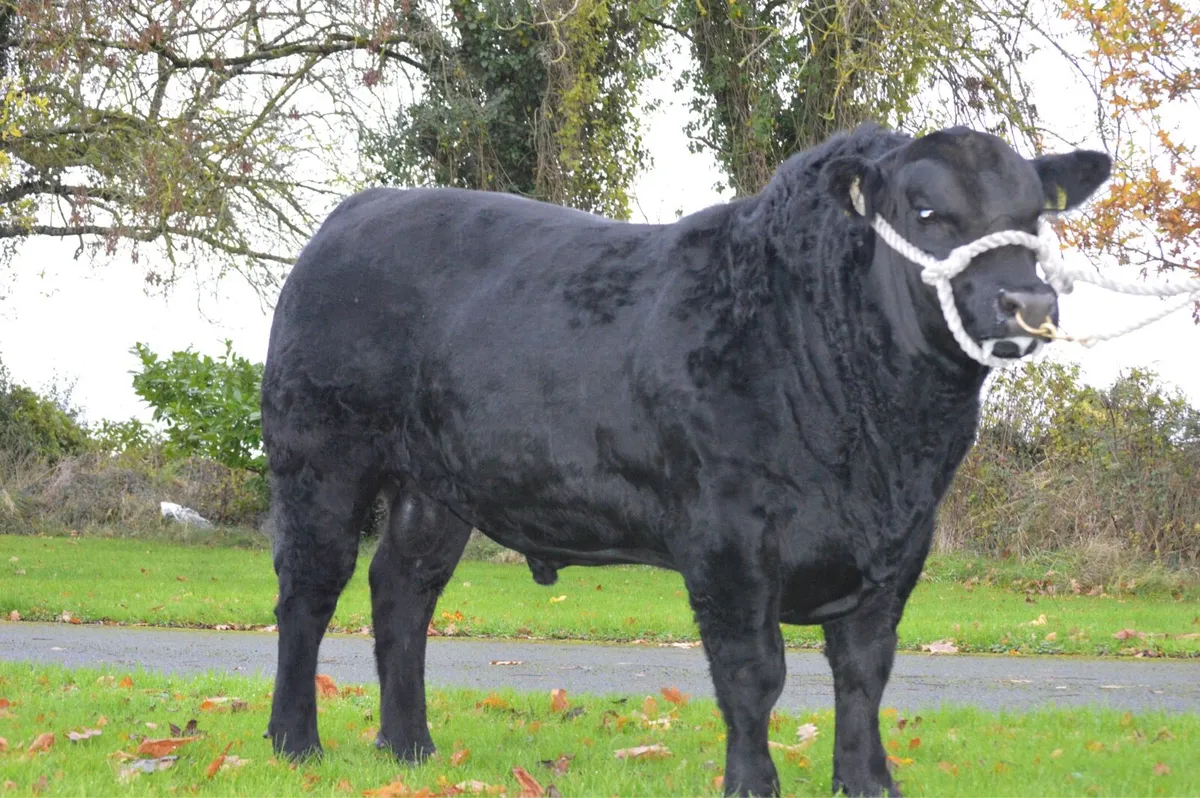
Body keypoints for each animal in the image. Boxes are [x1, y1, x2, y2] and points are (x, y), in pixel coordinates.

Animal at [261, 122, 1110, 796]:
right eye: (928, 211)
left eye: (1034, 215)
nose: (1028, 304)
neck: (883, 445)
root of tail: (361, 208)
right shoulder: (728, 537)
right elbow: (753, 673)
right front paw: (753, 785)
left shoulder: (900, 546)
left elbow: (865, 673)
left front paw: (869, 784)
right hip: (318, 458)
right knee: (309, 592)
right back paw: (297, 745)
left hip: (434, 488)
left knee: (402, 591)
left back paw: (409, 747)